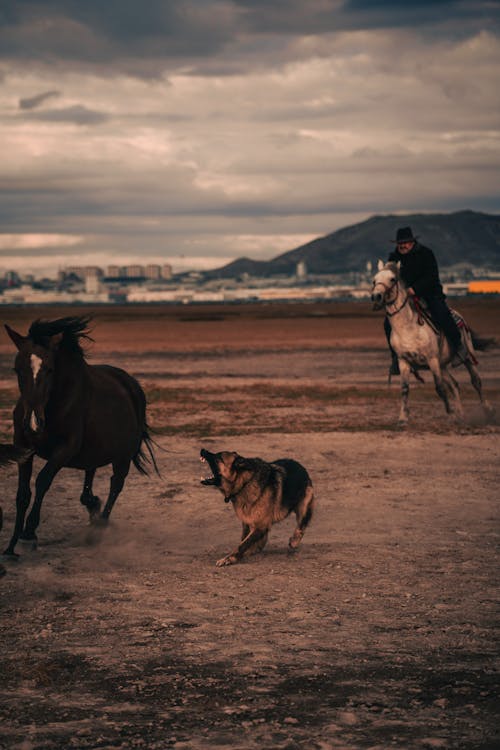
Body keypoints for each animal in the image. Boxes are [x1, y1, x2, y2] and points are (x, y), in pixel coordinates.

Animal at [2, 318, 158, 560]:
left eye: (50, 369)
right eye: (17, 369)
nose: (34, 423)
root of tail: (132, 386)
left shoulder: (65, 449)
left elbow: (42, 480)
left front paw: (29, 535)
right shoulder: (23, 448)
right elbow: (22, 494)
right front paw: (11, 546)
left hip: (122, 458)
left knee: (116, 484)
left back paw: (98, 529)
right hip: (93, 454)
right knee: (89, 482)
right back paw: (93, 509)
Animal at [370, 260, 494, 426]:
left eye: (392, 279)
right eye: (374, 280)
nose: (376, 296)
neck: (407, 328)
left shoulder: (432, 359)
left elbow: (439, 388)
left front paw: (450, 414)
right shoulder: (404, 361)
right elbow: (405, 389)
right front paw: (402, 418)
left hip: (467, 358)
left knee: (476, 381)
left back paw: (487, 410)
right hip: (443, 366)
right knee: (454, 385)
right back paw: (461, 415)